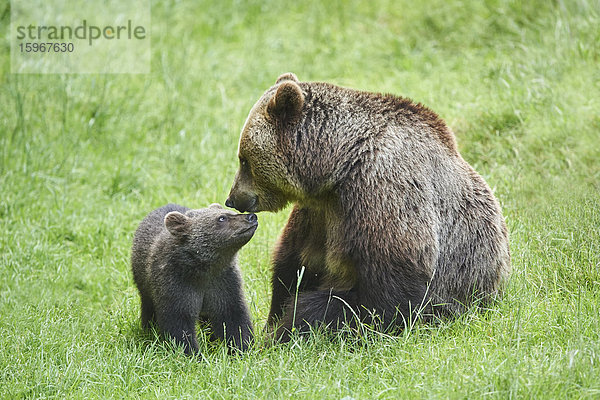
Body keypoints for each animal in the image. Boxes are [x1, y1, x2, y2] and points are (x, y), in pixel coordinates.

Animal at [225, 72, 510, 340]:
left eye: (244, 159)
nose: (233, 198)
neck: (337, 164)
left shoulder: (380, 187)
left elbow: (391, 293)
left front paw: (288, 328)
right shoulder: (320, 211)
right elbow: (294, 263)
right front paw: (272, 324)